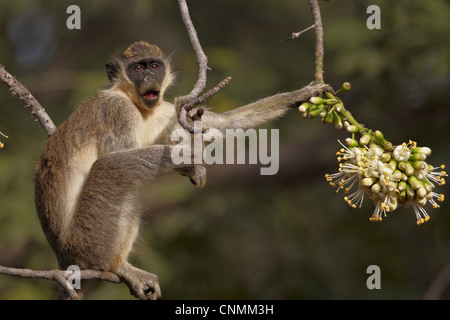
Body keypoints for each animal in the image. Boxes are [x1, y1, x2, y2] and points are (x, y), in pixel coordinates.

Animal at [34, 41, 330, 298]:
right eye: (138, 68)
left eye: (154, 66)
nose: (149, 78)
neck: (135, 102)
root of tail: (64, 258)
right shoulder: (117, 111)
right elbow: (116, 155)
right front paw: (192, 158)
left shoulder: (163, 110)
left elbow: (223, 123)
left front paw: (300, 95)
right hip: (87, 240)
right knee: (114, 169)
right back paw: (115, 266)